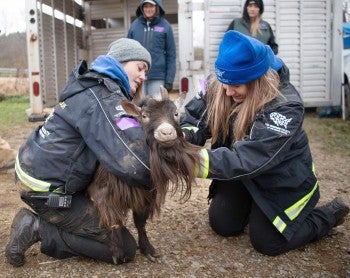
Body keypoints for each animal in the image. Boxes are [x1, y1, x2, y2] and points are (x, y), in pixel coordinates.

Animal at [87, 88, 202, 264]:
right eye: (144, 116)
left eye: (176, 113)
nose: (166, 133)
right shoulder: (102, 191)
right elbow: (113, 220)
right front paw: (117, 252)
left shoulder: (146, 194)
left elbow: (140, 222)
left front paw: (148, 249)